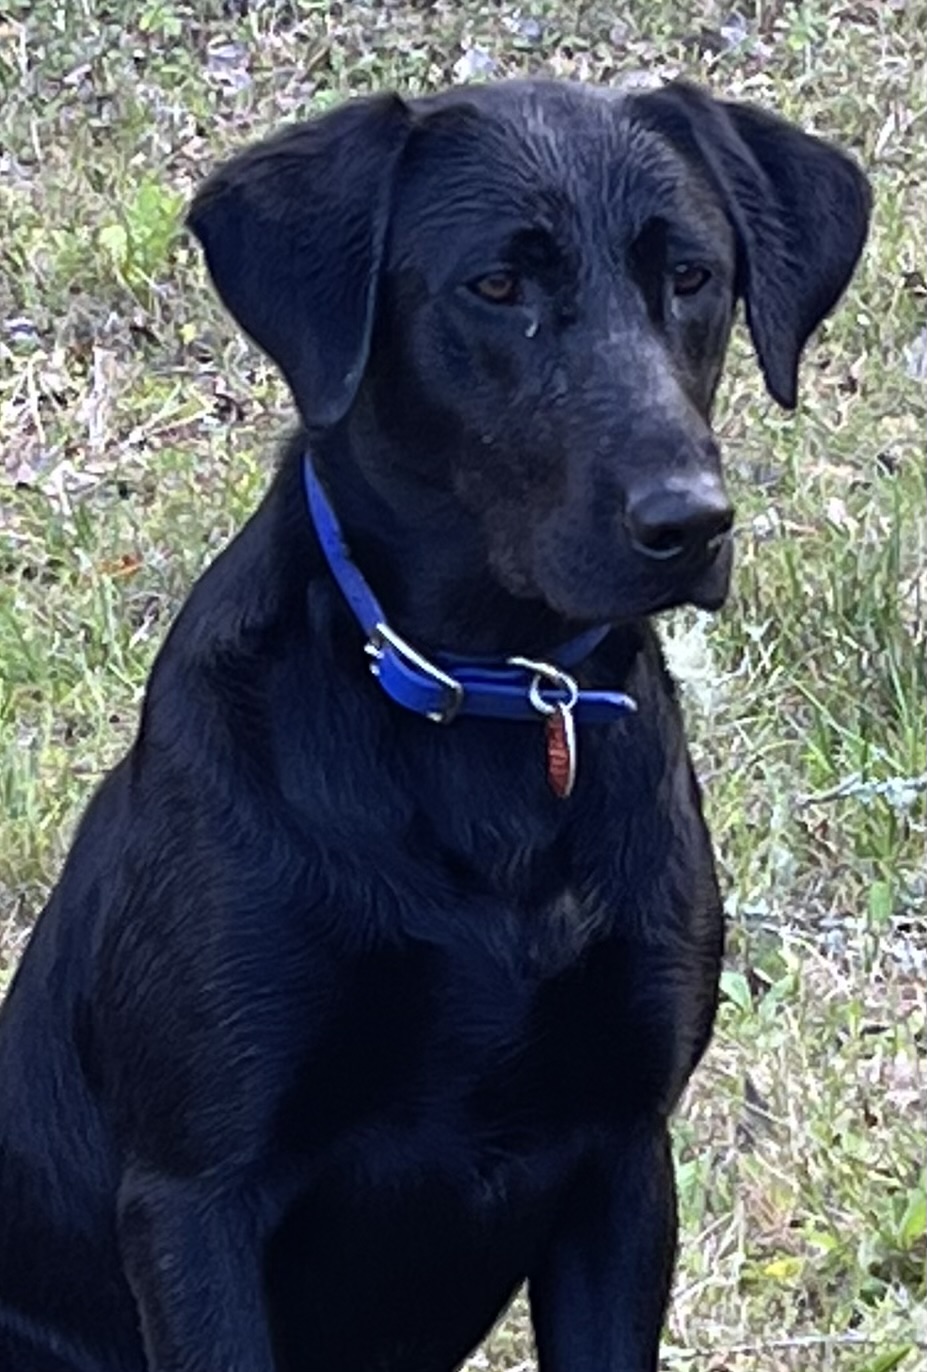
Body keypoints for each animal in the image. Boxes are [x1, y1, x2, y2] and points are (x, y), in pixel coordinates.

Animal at [0, 77, 866, 1372]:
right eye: (497, 287)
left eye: (692, 276)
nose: (689, 521)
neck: (495, 703)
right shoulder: (196, 1190)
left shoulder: (622, 1157)